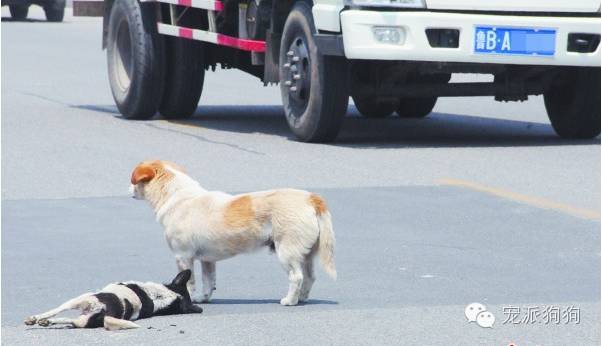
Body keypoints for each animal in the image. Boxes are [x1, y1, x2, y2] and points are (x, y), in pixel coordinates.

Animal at [24, 270, 202, 330]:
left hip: (81, 299)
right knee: (71, 321)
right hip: (84, 318)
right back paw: (47, 322)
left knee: (56, 311)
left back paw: (36, 319)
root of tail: (110, 312)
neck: (160, 297)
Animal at [129, 159, 336, 306]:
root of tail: (311, 198)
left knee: (297, 277)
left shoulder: (183, 257)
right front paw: (203, 298)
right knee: (309, 277)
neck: (178, 195)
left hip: (287, 253)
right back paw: (302, 298)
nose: (128, 187)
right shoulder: (207, 260)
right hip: (306, 255)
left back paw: (290, 301)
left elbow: (189, 283)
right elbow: (208, 280)